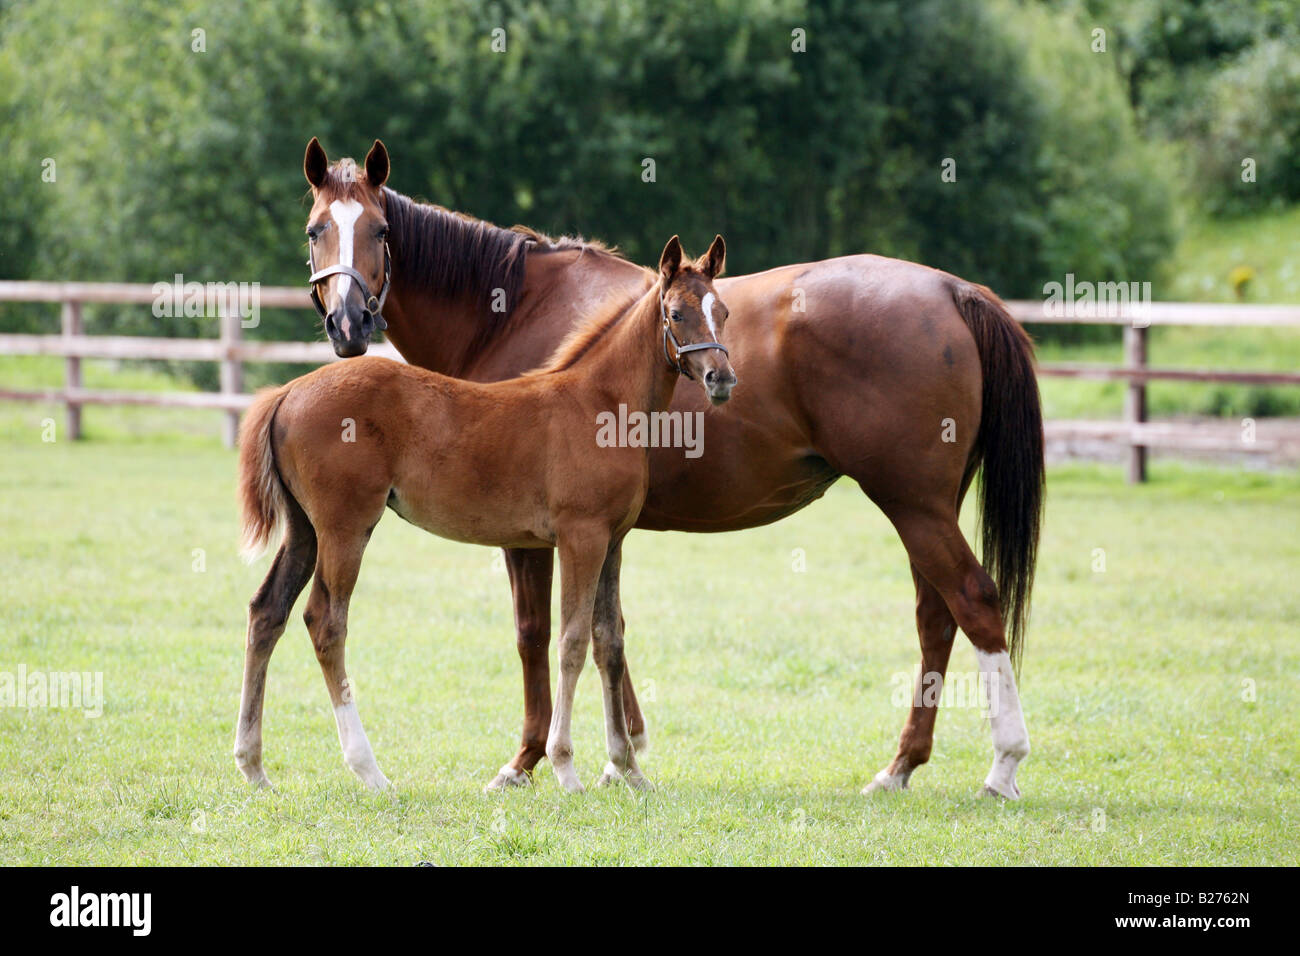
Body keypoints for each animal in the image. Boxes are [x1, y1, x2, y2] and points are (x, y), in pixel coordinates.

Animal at [236, 234, 733, 790]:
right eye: (676, 314)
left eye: (723, 312)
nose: (721, 378)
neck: (599, 402)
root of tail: (286, 393)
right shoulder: (580, 537)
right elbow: (572, 642)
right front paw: (566, 768)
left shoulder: (614, 540)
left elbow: (609, 641)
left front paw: (629, 770)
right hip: (345, 528)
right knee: (325, 621)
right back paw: (370, 771)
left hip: (304, 530)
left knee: (266, 612)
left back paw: (253, 766)